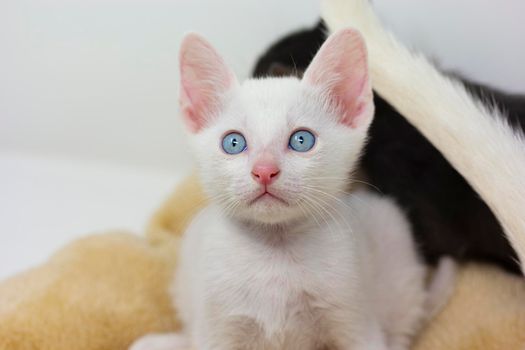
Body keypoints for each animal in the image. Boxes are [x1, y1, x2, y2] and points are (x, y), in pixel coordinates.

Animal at [130, 29, 450, 350]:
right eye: (233, 143)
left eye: (301, 140)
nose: (264, 171)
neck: (276, 251)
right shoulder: (217, 328)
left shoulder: (356, 320)